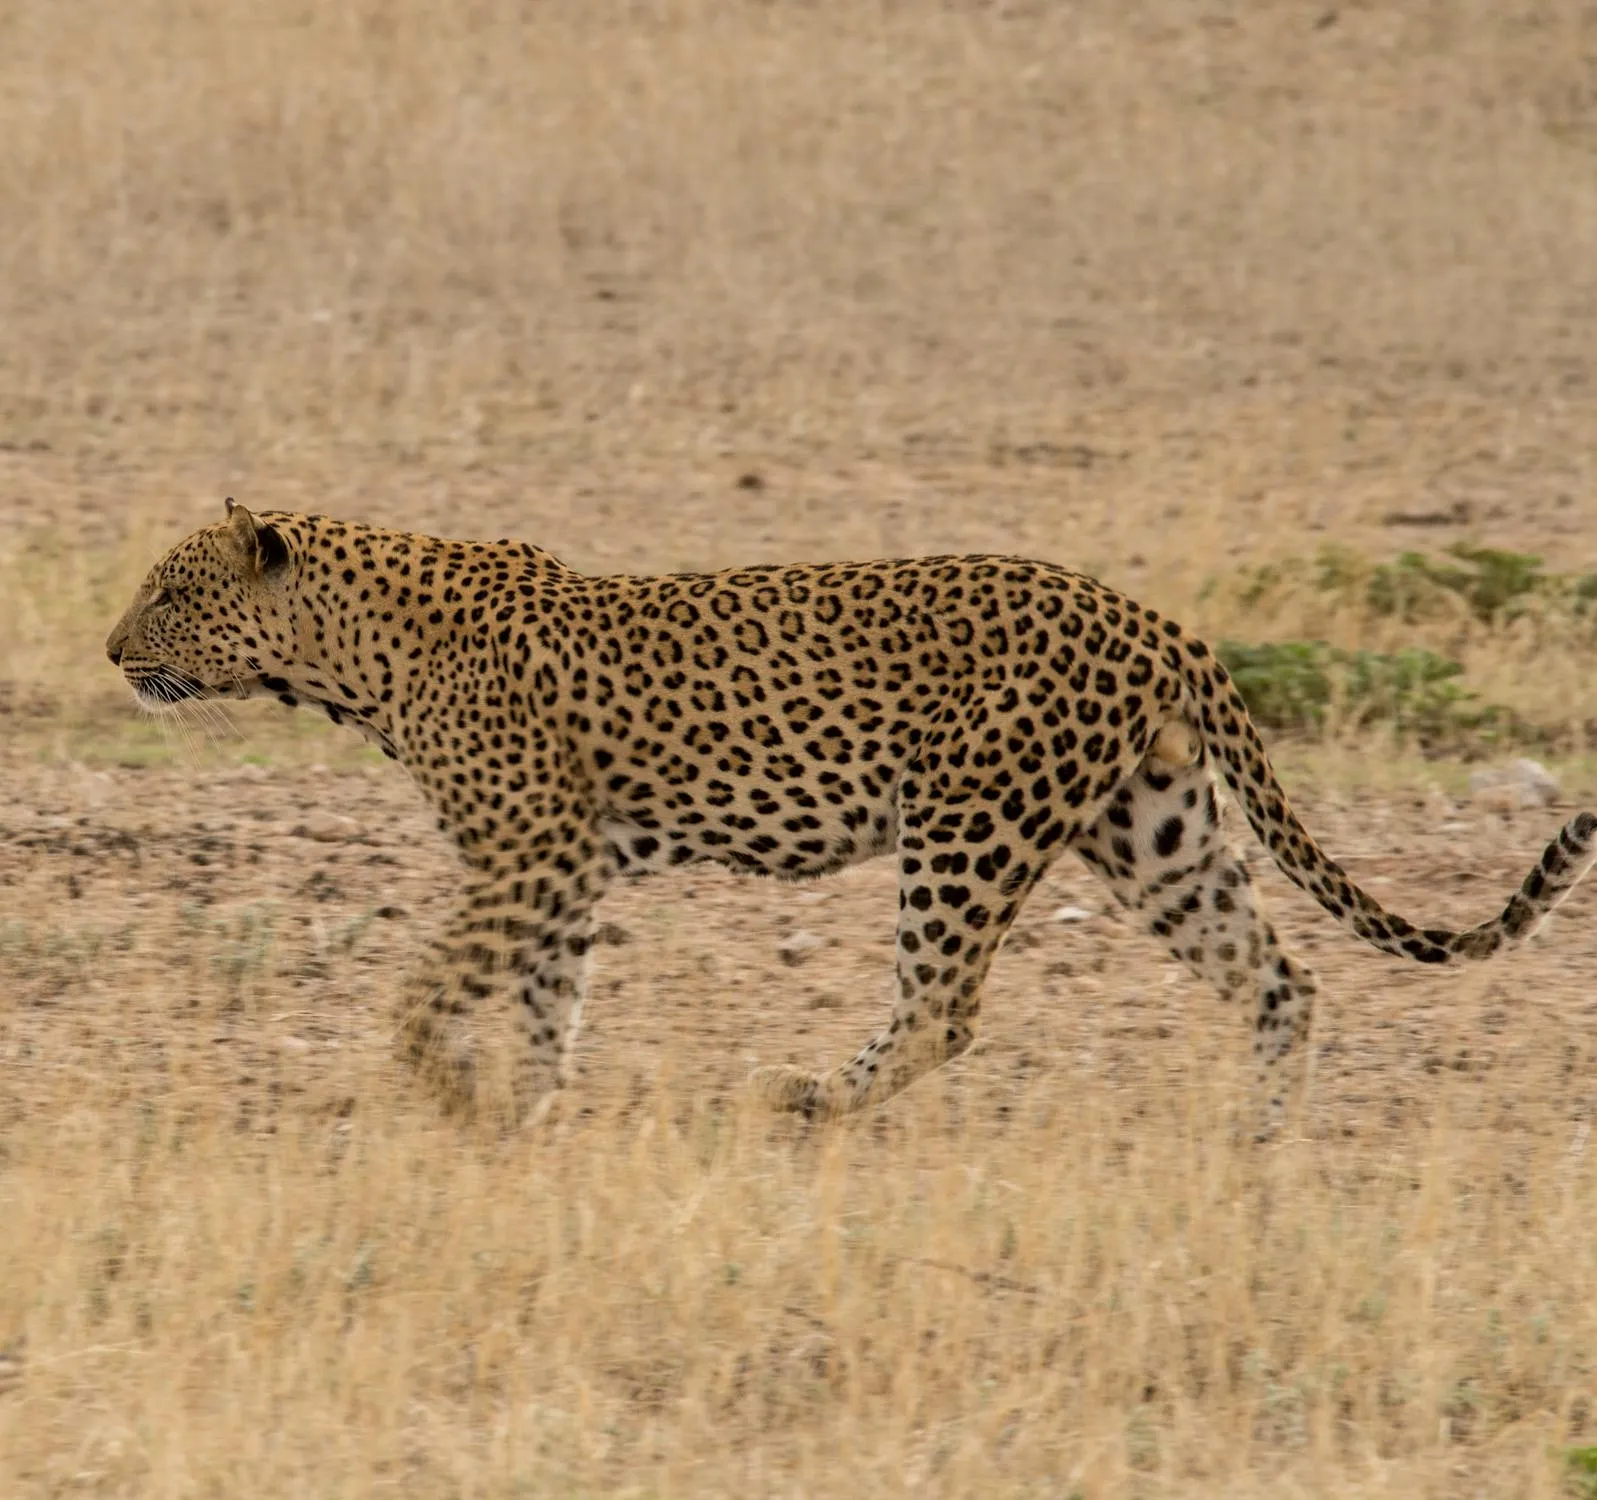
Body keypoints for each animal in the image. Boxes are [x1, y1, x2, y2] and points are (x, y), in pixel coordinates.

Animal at [106, 500, 1597, 1135]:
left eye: (171, 593)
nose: (113, 650)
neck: (347, 658)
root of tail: (1149, 615)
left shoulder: (530, 854)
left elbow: (427, 993)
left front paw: (453, 1090)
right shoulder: (565, 872)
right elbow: (542, 1002)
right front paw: (527, 1110)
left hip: (970, 824)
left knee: (944, 1006)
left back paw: (813, 1099)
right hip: (1155, 830)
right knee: (1279, 976)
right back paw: (1260, 1138)